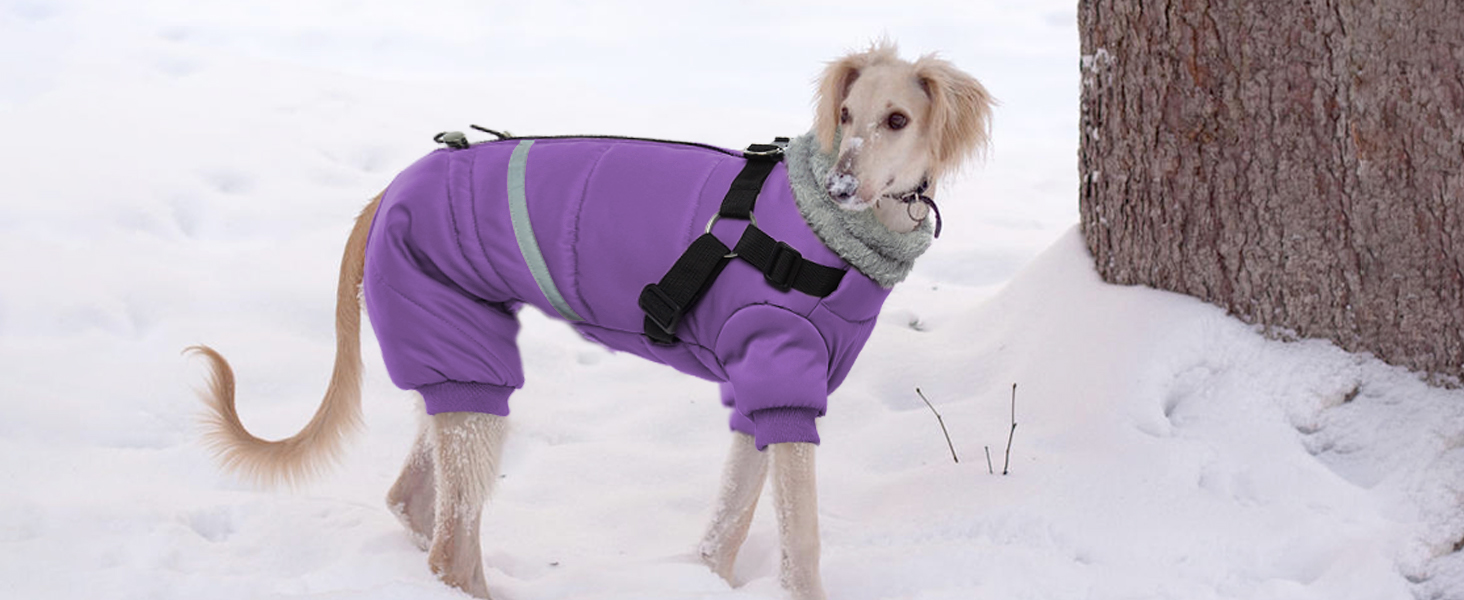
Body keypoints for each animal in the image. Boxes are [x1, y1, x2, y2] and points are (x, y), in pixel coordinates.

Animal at [183, 39, 983, 597]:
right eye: (845, 115)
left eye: (898, 119)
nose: (843, 185)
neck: (823, 232)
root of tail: (389, 189)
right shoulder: (780, 379)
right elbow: (802, 545)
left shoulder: (762, 395)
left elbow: (726, 527)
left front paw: (703, 582)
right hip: (468, 369)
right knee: (450, 549)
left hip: (458, 371)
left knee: (416, 505)